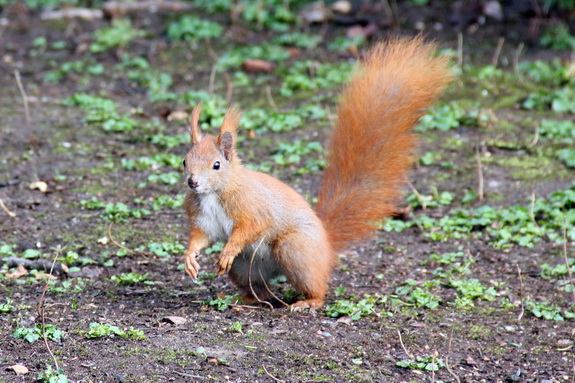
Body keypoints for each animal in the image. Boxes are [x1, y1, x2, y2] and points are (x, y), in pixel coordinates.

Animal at [182, 37, 452, 310]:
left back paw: (308, 301)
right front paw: (189, 257)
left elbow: (251, 227)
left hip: (294, 250)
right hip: (244, 267)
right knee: (262, 292)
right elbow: (201, 236)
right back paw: (241, 297)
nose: (192, 182)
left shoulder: (251, 206)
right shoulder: (203, 217)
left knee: (313, 287)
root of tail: (326, 244)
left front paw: (227, 250)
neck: (214, 192)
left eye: (216, 165)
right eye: (185, 161)